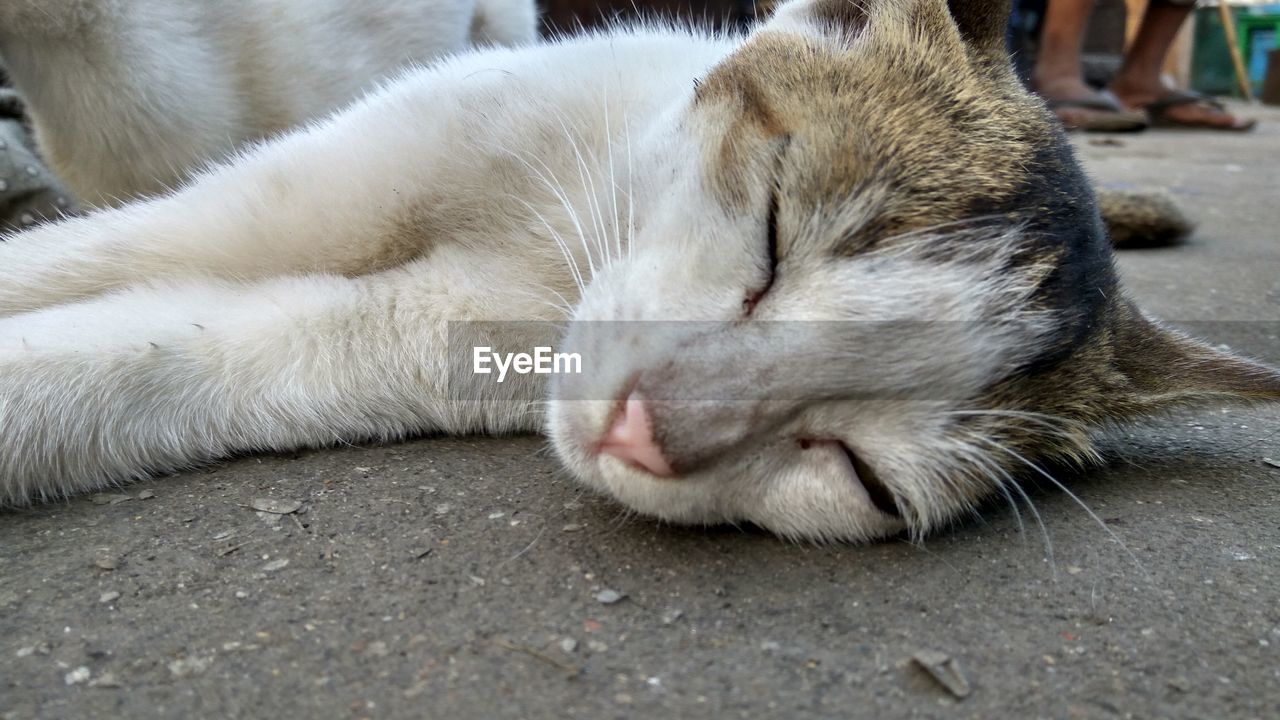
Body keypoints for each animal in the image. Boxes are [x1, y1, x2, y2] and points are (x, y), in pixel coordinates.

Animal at [2, 0, 1280, 538]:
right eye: (770, 235)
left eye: (860, 474)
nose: (642, 435)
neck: (574, 216)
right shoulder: (292, 191)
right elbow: (112, 247)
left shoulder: (410, 333)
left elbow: (156, 351)